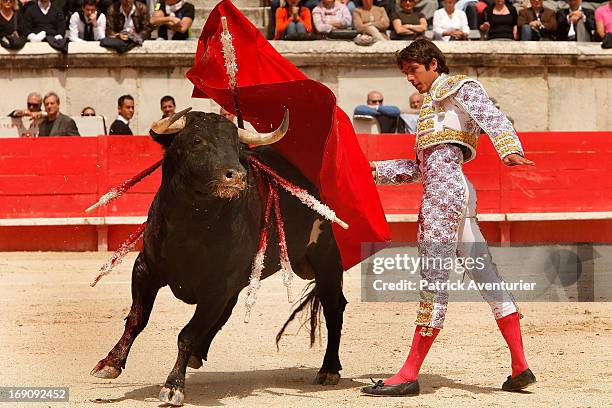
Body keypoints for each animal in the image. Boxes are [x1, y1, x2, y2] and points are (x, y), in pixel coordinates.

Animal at [91, 111, 350, 404]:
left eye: (237, 146)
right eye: (197, 140)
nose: (237, 176)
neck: (190, 225)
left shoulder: (217, 286)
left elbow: (187, 334)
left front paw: (173, 386)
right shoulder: (146, 269)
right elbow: (137, 319)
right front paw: (110, 363)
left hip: (326, 258)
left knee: (334, 309)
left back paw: (329, 369)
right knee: (226, 313)